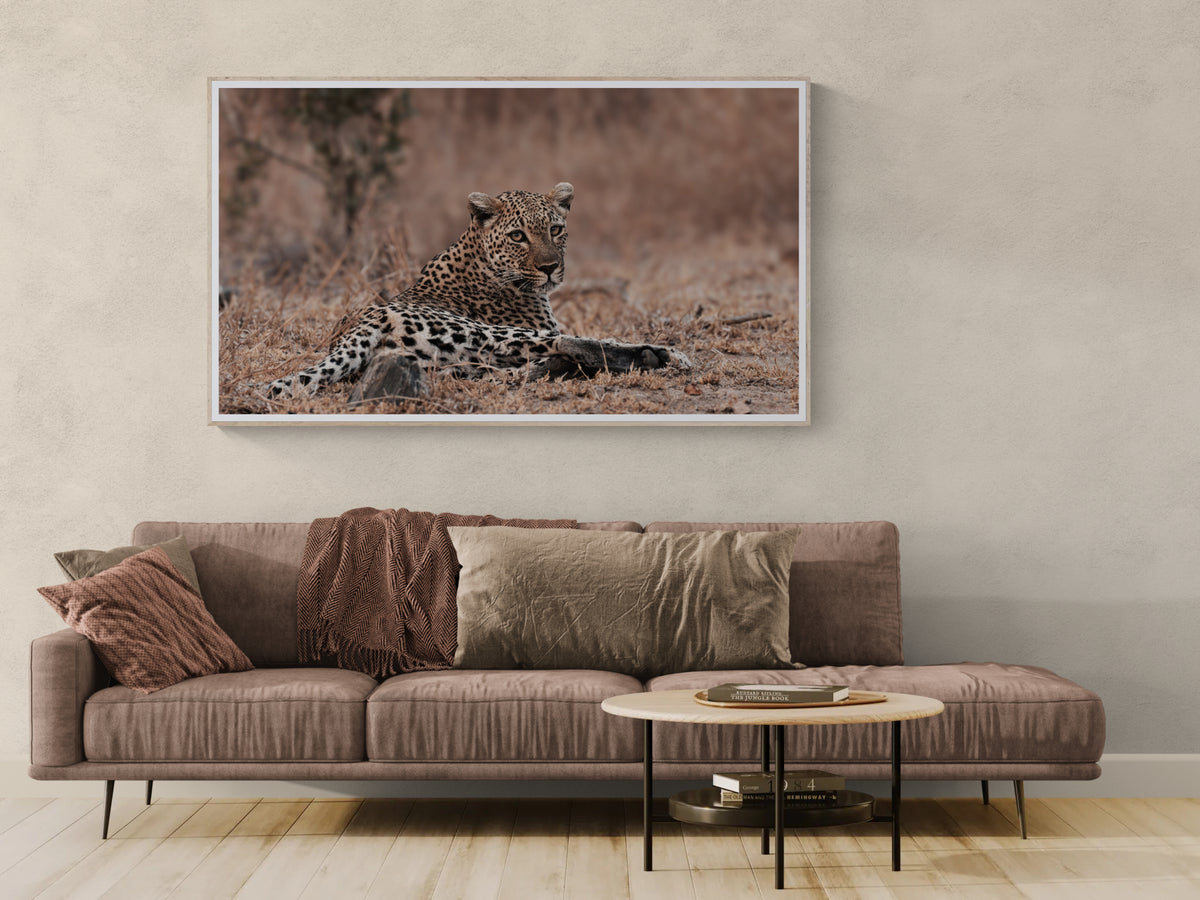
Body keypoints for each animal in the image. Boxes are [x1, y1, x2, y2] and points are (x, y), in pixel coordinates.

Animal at [264, 182, 689, 400]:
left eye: (555, 229)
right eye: (518, 236)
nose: (550, 267)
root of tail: (355, 330)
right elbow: (580, 336)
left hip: (451, 363)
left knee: (509, 371)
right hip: (481, 332)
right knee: (567, 343)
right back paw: (657, 355)